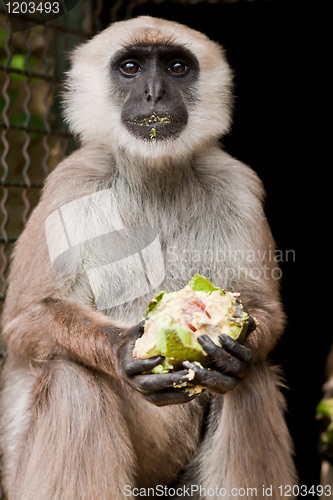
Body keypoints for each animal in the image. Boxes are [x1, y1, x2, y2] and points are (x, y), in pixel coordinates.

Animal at [0, 15, 296, 500]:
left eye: (177, 67)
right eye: (131, 68)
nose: (154, 92)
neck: (153, 175)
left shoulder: (236, 183)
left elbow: (260, 307)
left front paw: (234, 352)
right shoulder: (72, 181)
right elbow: (24, 321)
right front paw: (122, 349)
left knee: (250, 380)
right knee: (70, 376)